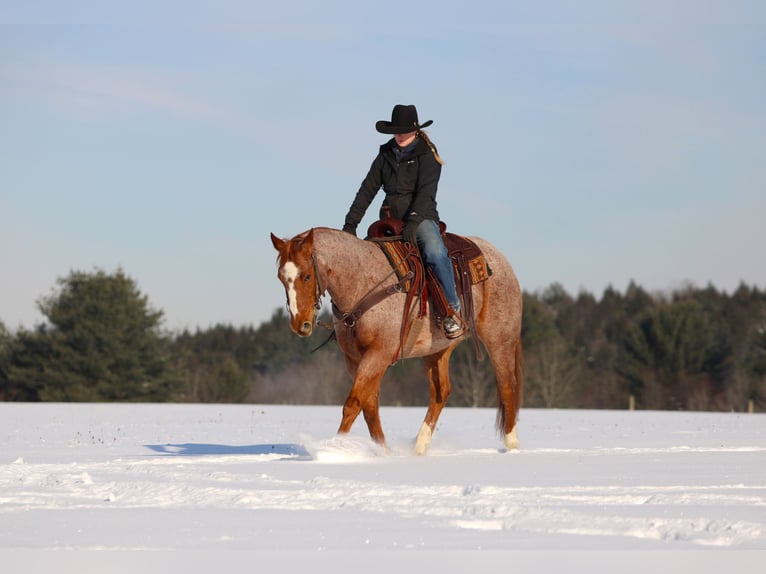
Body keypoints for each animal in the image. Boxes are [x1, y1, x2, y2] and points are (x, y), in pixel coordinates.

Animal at [270, 226, 524, 454]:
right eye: (281, 278)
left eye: (307, 276)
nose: (300, 324)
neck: (361, 283)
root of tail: (500, 259)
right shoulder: (354, 358)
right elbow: (369, 405)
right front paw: (383, 451)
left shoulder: (379, 353)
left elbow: (353, 403)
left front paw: (336, 448)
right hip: (436, 351)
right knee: (441, 392)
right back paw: (419, 446)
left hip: (500, 339)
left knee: (507, 386)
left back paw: (512, 446)